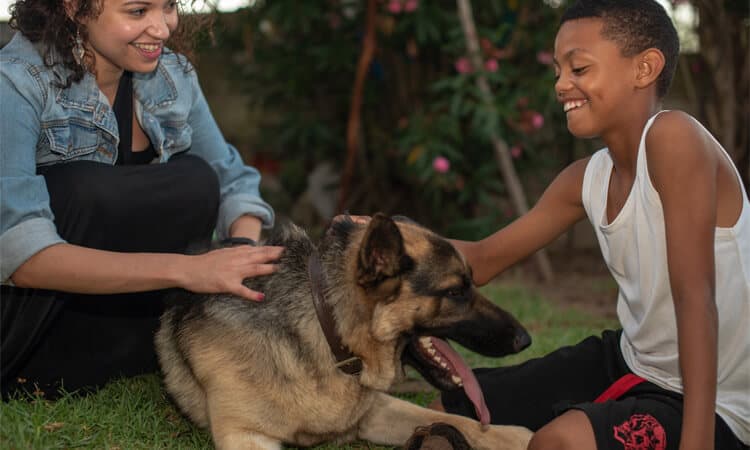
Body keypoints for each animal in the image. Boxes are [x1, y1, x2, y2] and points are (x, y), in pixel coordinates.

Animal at [156, 214, 536, 450]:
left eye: (471, 282)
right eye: (455, 291)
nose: (525, 340)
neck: (326, 336)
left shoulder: (373, 410)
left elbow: (453, 420)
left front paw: (518, 436)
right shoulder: (244, 434)